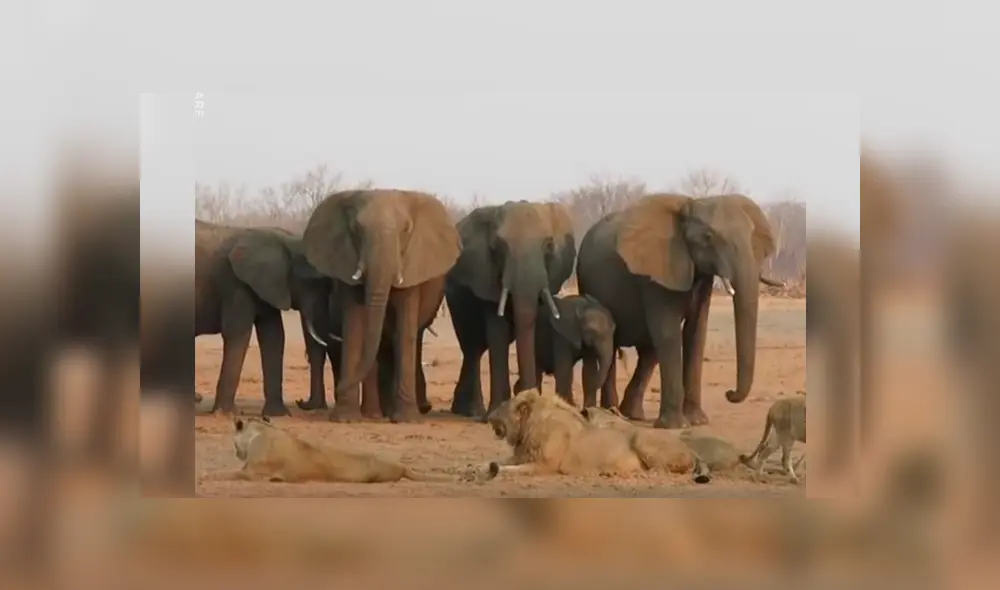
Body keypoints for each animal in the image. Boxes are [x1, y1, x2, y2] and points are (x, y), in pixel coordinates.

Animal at [195, 219, 331, 416]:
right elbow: (238, 333)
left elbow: (273, 336)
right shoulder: (237, 284)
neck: (286, 241)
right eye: (312, 282)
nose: (301, 401)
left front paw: (278, 415)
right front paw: (227, 414)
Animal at [301, 189, 460, 423]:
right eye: (356, 229)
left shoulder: (412, 265)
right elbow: (355, 329)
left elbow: (404, 332)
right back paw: (374, 414)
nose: (338, 388)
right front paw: (345, 419)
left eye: (406, 230)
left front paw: (406, 420)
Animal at [445, 200, 577, 418]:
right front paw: (495, 413)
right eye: (498, 247)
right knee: (472, 345)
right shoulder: (486, 275)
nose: (523, 392)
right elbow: (497, 331)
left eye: (549, 245)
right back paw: (472, 412)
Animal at [576, 193, 777, 429]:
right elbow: (668, 332)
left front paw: (697, 421)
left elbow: (696, 332)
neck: (690, 205)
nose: (729, 393)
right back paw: (612, 412)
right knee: (615, 344)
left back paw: (631, 414)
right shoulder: (655, 273)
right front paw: (676, 426)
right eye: (708, 237)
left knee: (649, 352)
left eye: (752, 235)